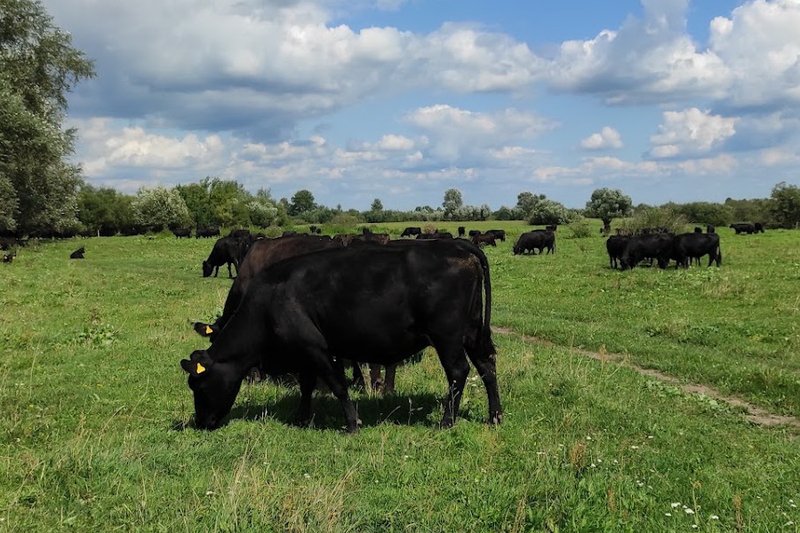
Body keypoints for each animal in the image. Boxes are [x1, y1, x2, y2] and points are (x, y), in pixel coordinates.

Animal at [180, 239, 500, 430]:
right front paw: (301, 417)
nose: (201, 422)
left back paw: (447, 420)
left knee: (458, 371)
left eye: (198, 385)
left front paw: (352, 422)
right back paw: (495, 415)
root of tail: (457, 246)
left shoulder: (315, 347)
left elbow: (337, 384)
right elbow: (307, 385)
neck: (269, 300)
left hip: (447, 336)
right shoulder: (305, 352)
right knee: (486, 366)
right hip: (472, 331)